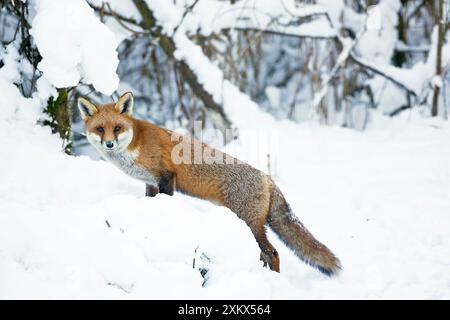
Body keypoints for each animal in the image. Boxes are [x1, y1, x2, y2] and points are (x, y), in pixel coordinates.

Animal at [77, 92, 342, 276]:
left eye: (117, 128)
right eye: (100, 129)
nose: (109, 144)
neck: (136, 144)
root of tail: (267, 178)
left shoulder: (166, 176)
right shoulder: (150, 183)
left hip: (250, 225)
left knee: (272, 253)